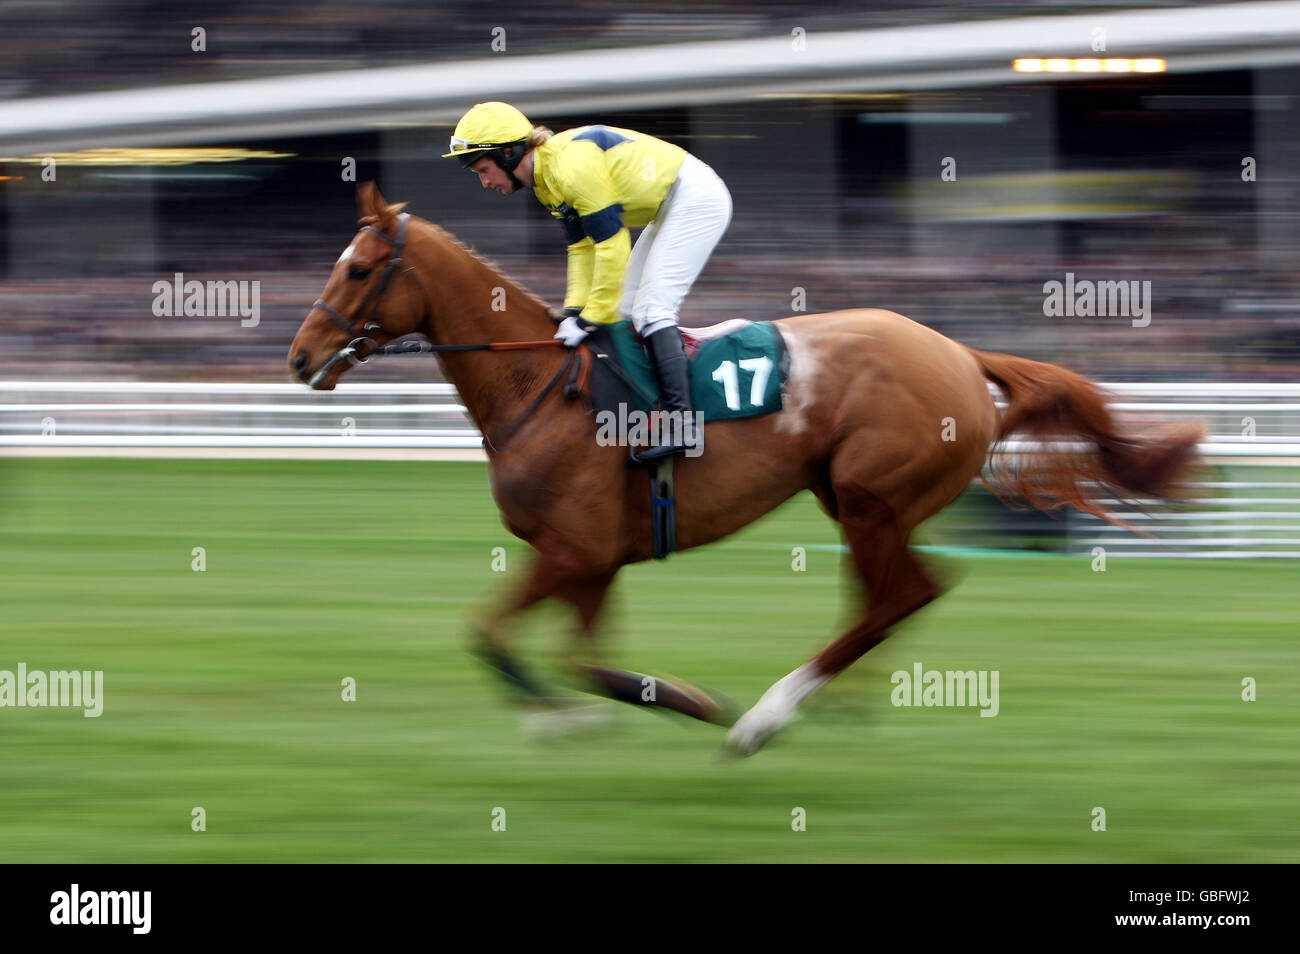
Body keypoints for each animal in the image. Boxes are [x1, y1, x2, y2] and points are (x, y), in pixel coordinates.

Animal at [289, 184, 1201, 753]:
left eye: (359, 268)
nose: (299, 357)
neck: (540, 386)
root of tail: (957, 351)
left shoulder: (573, 550)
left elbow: (493, 637)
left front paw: (659, 710)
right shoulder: (594, 562)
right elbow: (579, 661)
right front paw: (620, 709)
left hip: (871, 495)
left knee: (904, 594)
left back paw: (763, 721)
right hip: (855, 502)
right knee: (885, 599)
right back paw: (830, 705)